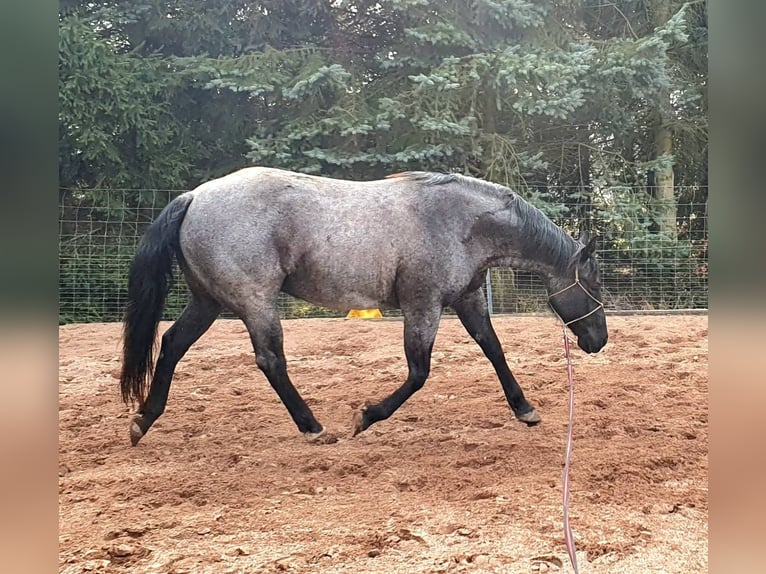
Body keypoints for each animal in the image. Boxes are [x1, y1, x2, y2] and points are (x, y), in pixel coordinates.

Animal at [120, 167, 608, 446]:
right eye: (595, 282)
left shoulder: (466, 298)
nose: (599, 341)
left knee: (171, 344)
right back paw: (313, 428)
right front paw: (367, 416)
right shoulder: (422, 305)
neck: (460, 222)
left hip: (208, 301)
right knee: (270, 360)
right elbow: (419, 373)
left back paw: (144, 420)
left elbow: (494, 350)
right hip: (254, 301)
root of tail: (193, 197)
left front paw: (525, 409)